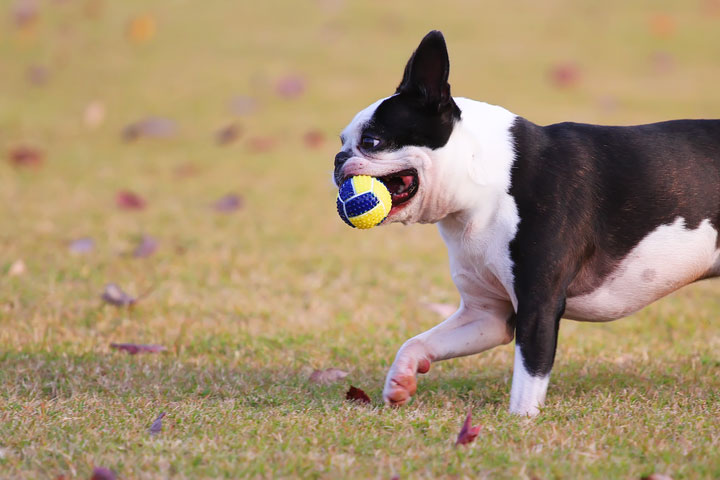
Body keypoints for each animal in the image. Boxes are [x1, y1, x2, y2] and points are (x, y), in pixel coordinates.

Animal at [332, 30, 720, 414]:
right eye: (342, 140)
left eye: (372, 141)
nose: (337, 159)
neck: (485, 181)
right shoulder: (487, 314)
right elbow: (415, 342)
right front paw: (401, 380)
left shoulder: (538, 306)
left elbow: (527, 379)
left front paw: (520, 424)